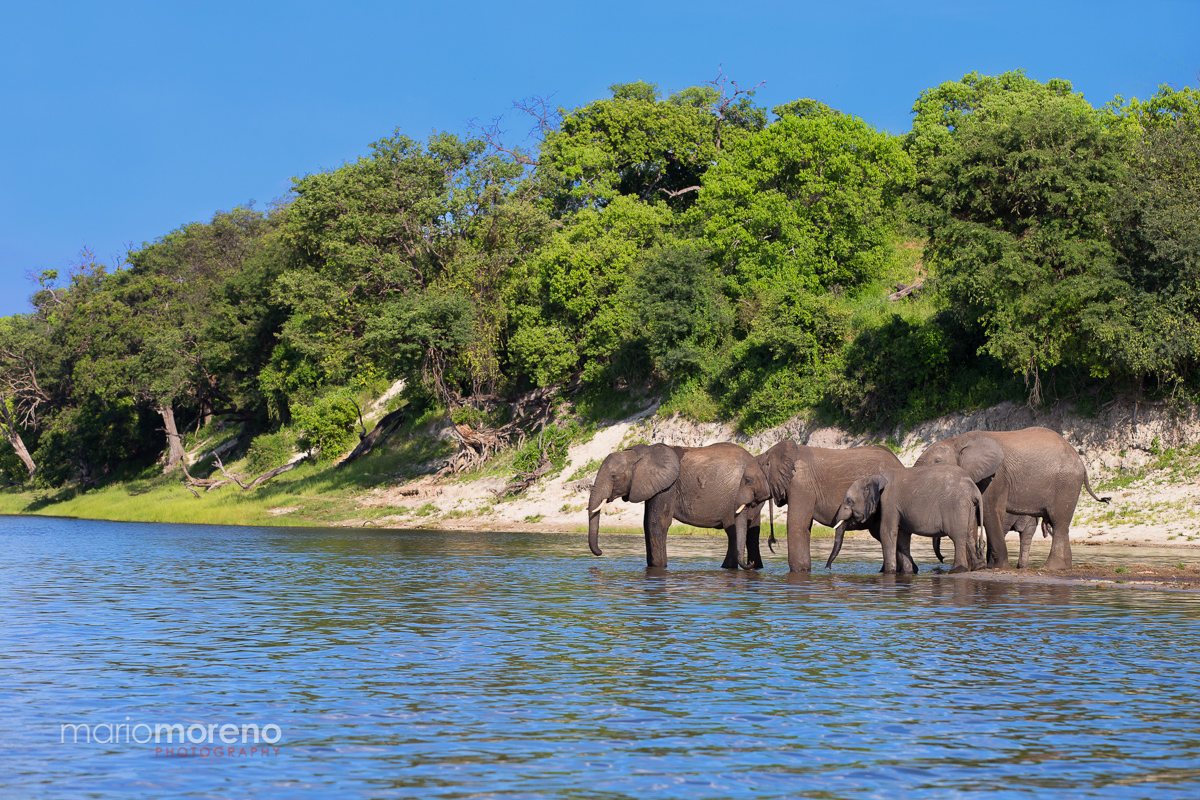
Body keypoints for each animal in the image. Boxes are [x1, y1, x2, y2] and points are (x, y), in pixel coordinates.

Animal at [587, 442, 770, 570]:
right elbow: (647, 524)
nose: (601, 552)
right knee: (751, 532)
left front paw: (659, 567)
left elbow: (655, 523)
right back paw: (753, 566)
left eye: (613, 476)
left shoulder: (668, 486)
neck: (641, 453)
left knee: (733, 532)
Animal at [832, 465, 984, 574]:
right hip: (969, 506)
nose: (828, 568)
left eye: (849, 501)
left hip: (956, 505)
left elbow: (887, 532)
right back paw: (978, 567)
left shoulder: (889, 501)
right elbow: (903, 537)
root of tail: (974, 489)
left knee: (958, 537)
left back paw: (957, 570)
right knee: (970, 534)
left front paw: (889, 573)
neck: (875, 478)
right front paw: (908, 572)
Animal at [913, 427, 1109, 570]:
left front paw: (999, 568)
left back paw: (1051, 568)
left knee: (1059, 523)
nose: (942, 559)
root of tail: (1080, 462)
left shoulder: (996, 476)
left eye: (937, 462)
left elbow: (990, 512)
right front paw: (977, 568)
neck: (957, 441)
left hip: (1066, 483)